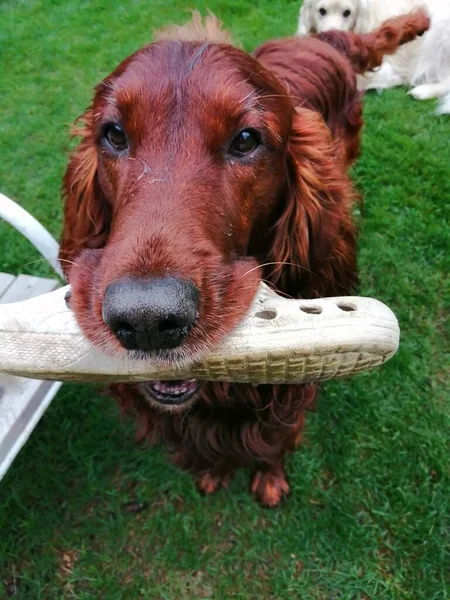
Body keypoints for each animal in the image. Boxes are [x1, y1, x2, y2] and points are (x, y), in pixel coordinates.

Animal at [59, 10, 428, 506]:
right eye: (114, 134)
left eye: (246, 139)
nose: (146, 320)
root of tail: (328, 38)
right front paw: (214, 473)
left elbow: (276, 439)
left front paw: (270, 479)